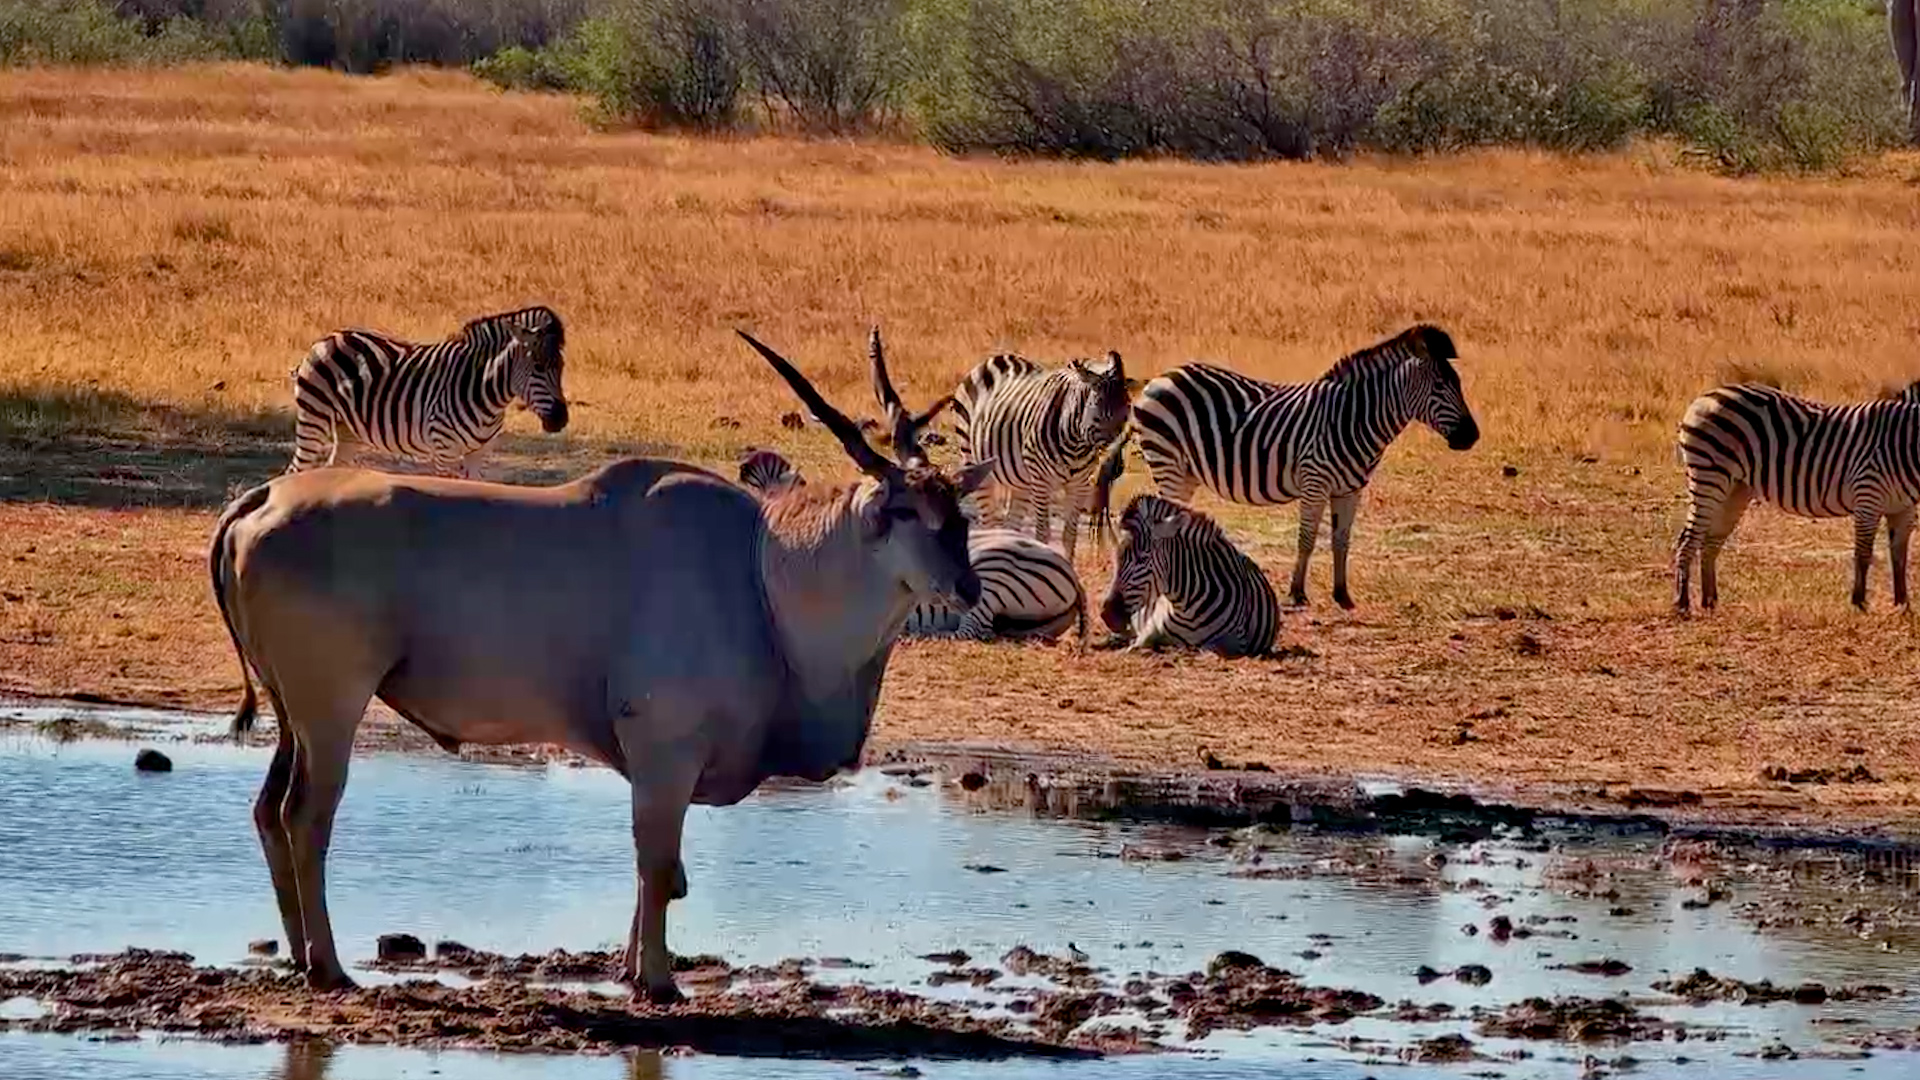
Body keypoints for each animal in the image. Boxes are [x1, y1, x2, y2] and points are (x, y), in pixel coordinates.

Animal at [286, 306, 569, 477]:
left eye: (562, 367)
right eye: (538, 367)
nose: (561, 420)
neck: (484, 389)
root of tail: (326, 338)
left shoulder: (479, 453)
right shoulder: (444, 450)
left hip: (347, 429)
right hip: (314, 417)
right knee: (295, 471)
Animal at [949, 350, 1132, 560]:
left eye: (1128, 409)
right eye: (1098, 406)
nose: (1116, 466)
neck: (1076, 445)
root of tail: (993, 359)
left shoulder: (1079, 485)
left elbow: (1070, 535)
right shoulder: (1041, 482)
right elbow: (1043, 534)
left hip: (1021, 481)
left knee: (1011, 524)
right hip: (976, 463)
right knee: (988, 522)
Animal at [1098, 494, 1279, 658]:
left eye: (1142, 559)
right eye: (1116, 557)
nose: (1108, 615)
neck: (1187, 608)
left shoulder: (1235, 645)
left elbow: (1204, 649)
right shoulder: (1147, 631)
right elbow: (1137, 646)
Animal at [1127, 325, 1479, 610]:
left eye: (1458, 383)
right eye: (1440, 385)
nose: (1472, 436)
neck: (1354, 417)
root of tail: (1163, 375)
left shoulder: (1350, 489)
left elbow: (1341, 539)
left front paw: (1342, 595)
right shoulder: (1315, 482)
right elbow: (1307, 539)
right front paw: (1297, 593)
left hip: (1185, 473)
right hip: (1168, 462)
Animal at [1673, 381, 1920, 613]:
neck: (1903, 443)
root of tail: (1703, 397)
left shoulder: (1903, 508)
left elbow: (1900, 556)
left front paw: (1903, 604)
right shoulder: (1867, 495)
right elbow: (1863, 554)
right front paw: (1859, 603)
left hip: (1735, 490)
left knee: (1710, 541)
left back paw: (1709, 602)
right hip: (1709, 477)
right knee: (1687, 540)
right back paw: (1682, 603)